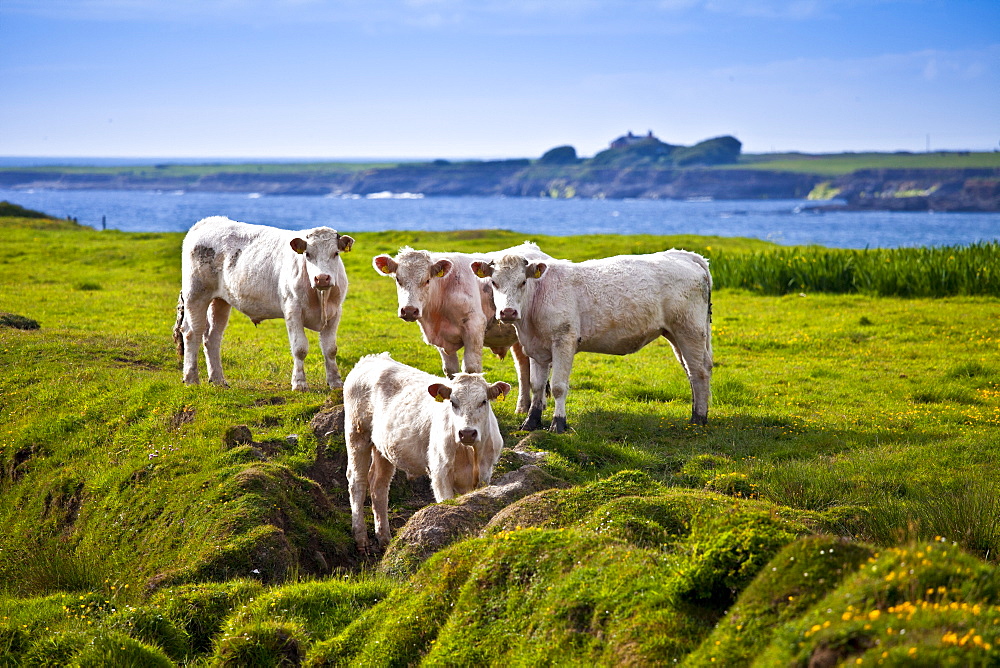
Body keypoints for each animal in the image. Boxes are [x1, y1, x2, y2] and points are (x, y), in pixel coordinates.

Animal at [174, 214, 354, 392]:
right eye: (307, 254)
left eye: (335, 253)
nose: (322, 278)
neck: (320, 296)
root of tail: (209, 221)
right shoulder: (292, 310)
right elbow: (300, 348)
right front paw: (299, 384)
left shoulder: (335, 312)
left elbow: (330, 349)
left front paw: (336, 383)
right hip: (196, 294)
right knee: (192, 333)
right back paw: (191, 379)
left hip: (220, 301)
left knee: (212, 337)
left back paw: (218, 380)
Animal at [346, 352, 516, 552]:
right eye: (453, 403)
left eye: (483, 401)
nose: (467, 433)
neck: (469, 453)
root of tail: (372, 358)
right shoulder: (440, 472)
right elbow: (445, 504)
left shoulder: (485, 472)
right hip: (357, 435)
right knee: (357, 482)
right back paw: (361, 539)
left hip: (383, 448)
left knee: (378, 484)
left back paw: (384, 538)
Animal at [474, 248, 716, 430]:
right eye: (493, 282)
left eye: (523, 282)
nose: (508, 312)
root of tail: (684, 255)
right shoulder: (536, 348)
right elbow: (537, 385)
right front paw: (531, 422)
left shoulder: (564, 341)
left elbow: (559, 386)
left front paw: (558, 424)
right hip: (675, 334)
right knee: (691, 370)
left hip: (689, 330)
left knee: (699, 371)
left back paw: (698, 419)